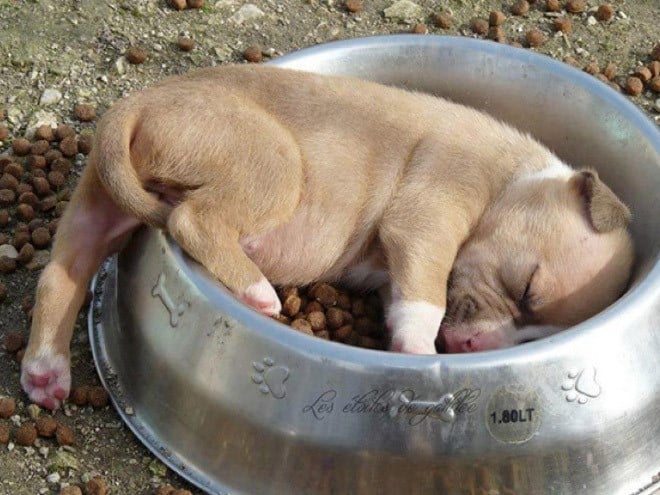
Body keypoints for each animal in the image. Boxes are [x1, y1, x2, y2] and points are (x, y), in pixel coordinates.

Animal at [18, 64, 632, 408]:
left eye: (534, 340)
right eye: (526, 288)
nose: (466, 351)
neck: (513, 179)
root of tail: (136, 102)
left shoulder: (398, 264)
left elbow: (405, 295)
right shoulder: (428, 217)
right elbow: (427, 296)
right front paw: (418, 353)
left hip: (97, 211)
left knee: (59, 277)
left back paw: (45, 373)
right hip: (274, 163)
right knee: (193, 221)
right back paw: (256, 292)